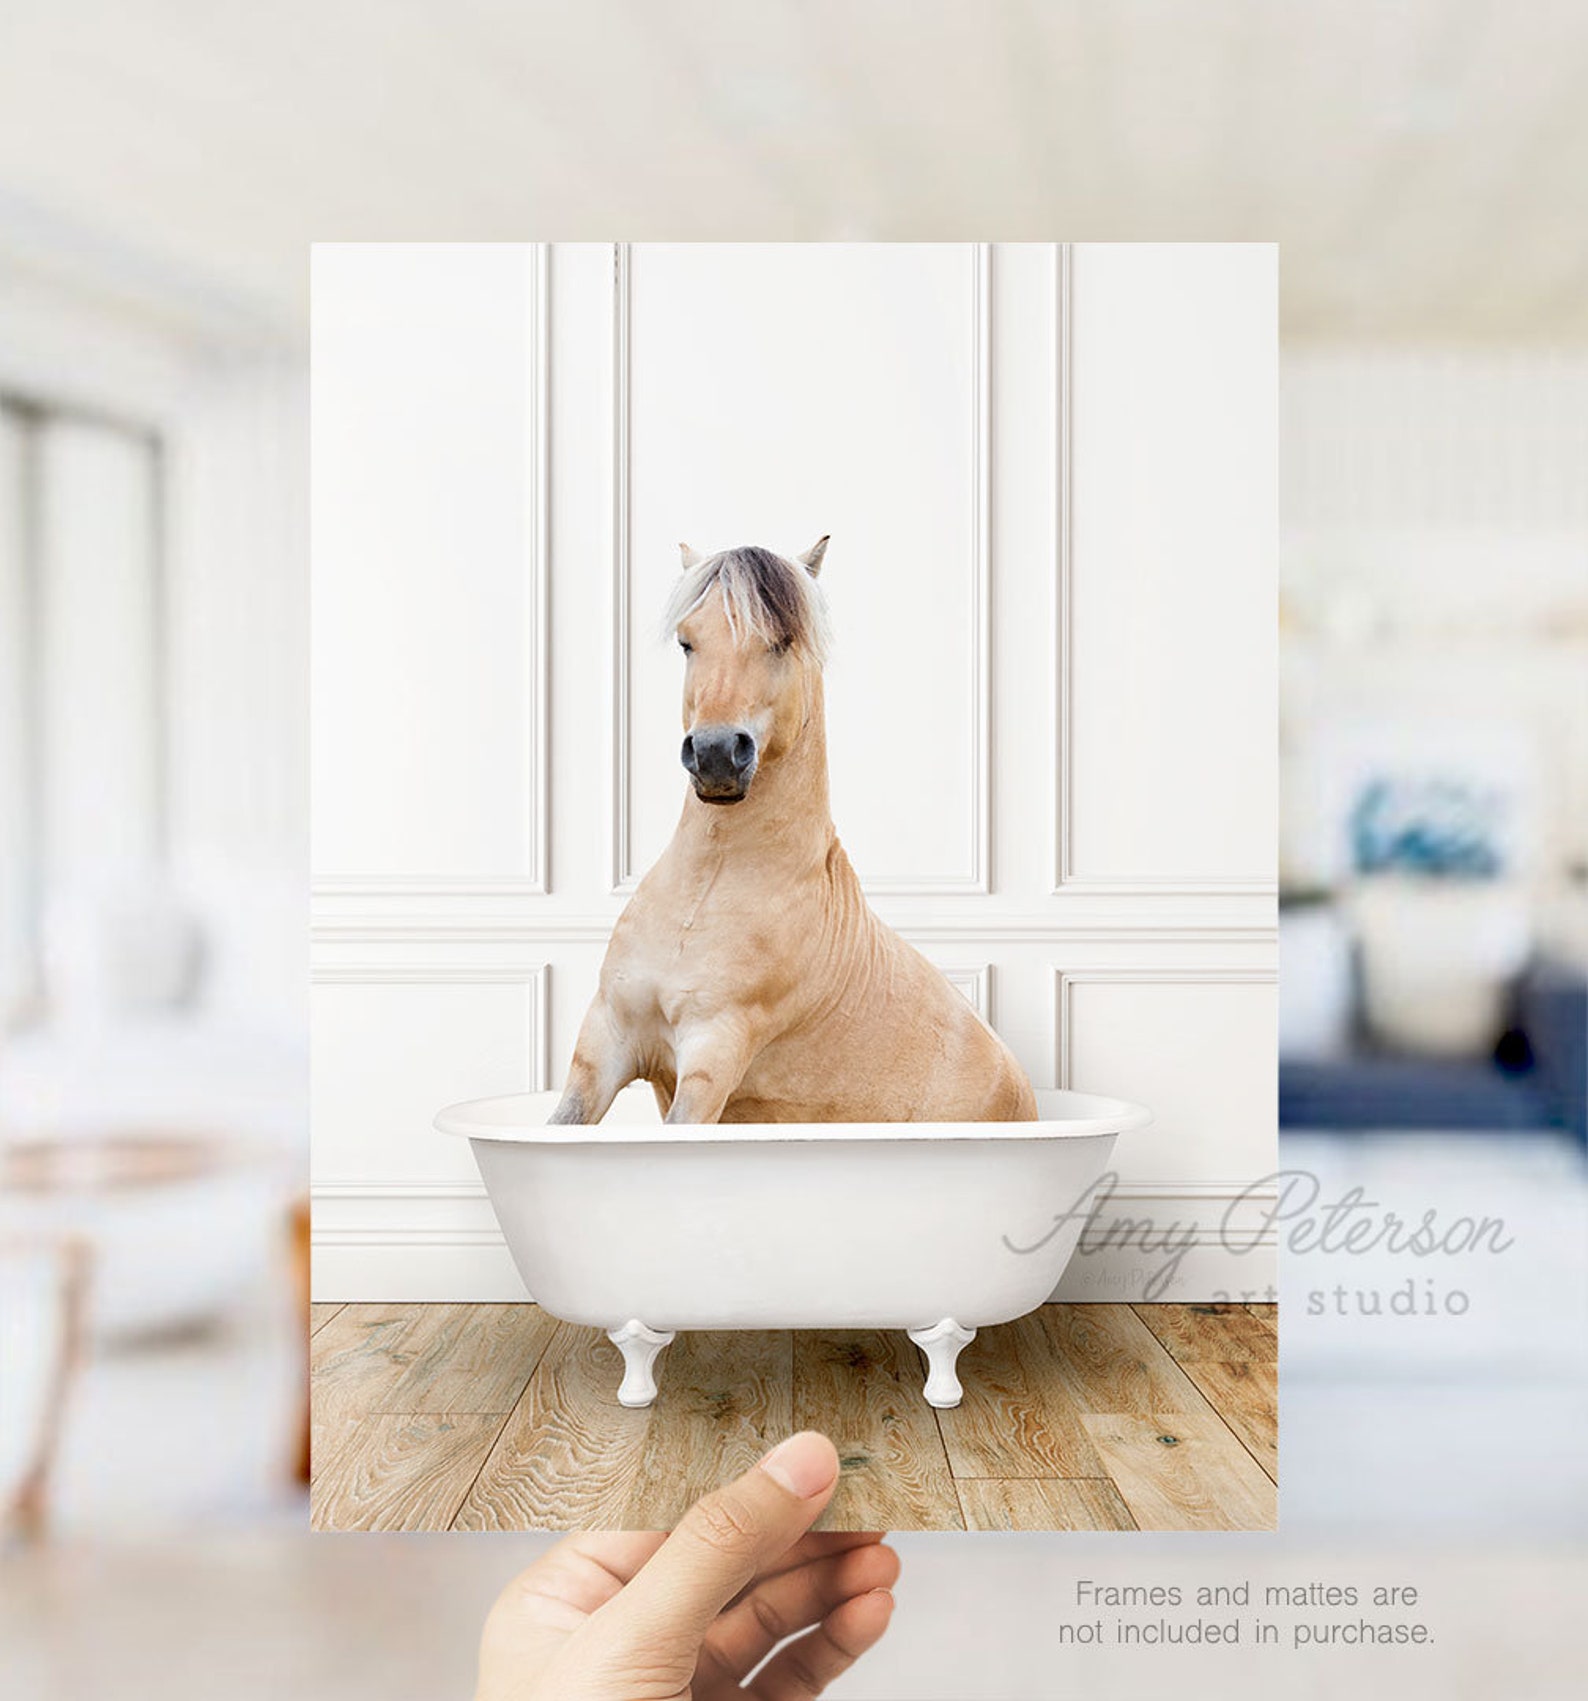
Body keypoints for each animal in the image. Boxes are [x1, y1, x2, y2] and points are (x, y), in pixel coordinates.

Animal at [550, 538, 1037, 1126]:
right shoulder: (606, 1040)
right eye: (687, 641)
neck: (706, 892)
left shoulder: (712, 1054)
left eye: (781, 641)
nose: (715, 754)